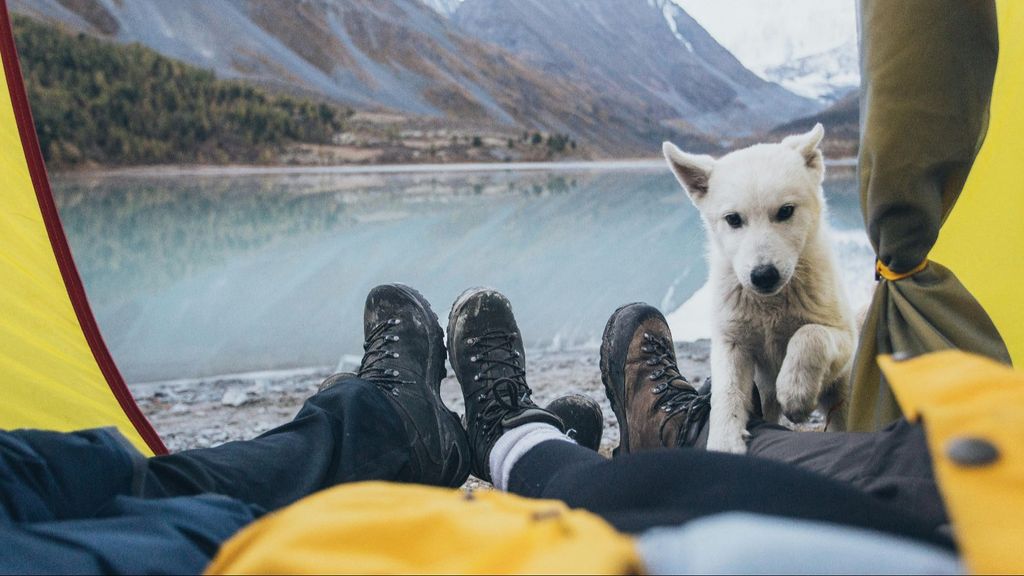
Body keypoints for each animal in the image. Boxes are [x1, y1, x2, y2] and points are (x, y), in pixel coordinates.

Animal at [659, 124, 851, 453]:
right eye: (733, 219)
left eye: (786, 211)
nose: (763, 275)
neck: (770, 306)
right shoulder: (731, 340)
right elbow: (726, 392)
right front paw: (724, 442)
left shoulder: (845, 337)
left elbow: (809, 334)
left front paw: (795, 391)